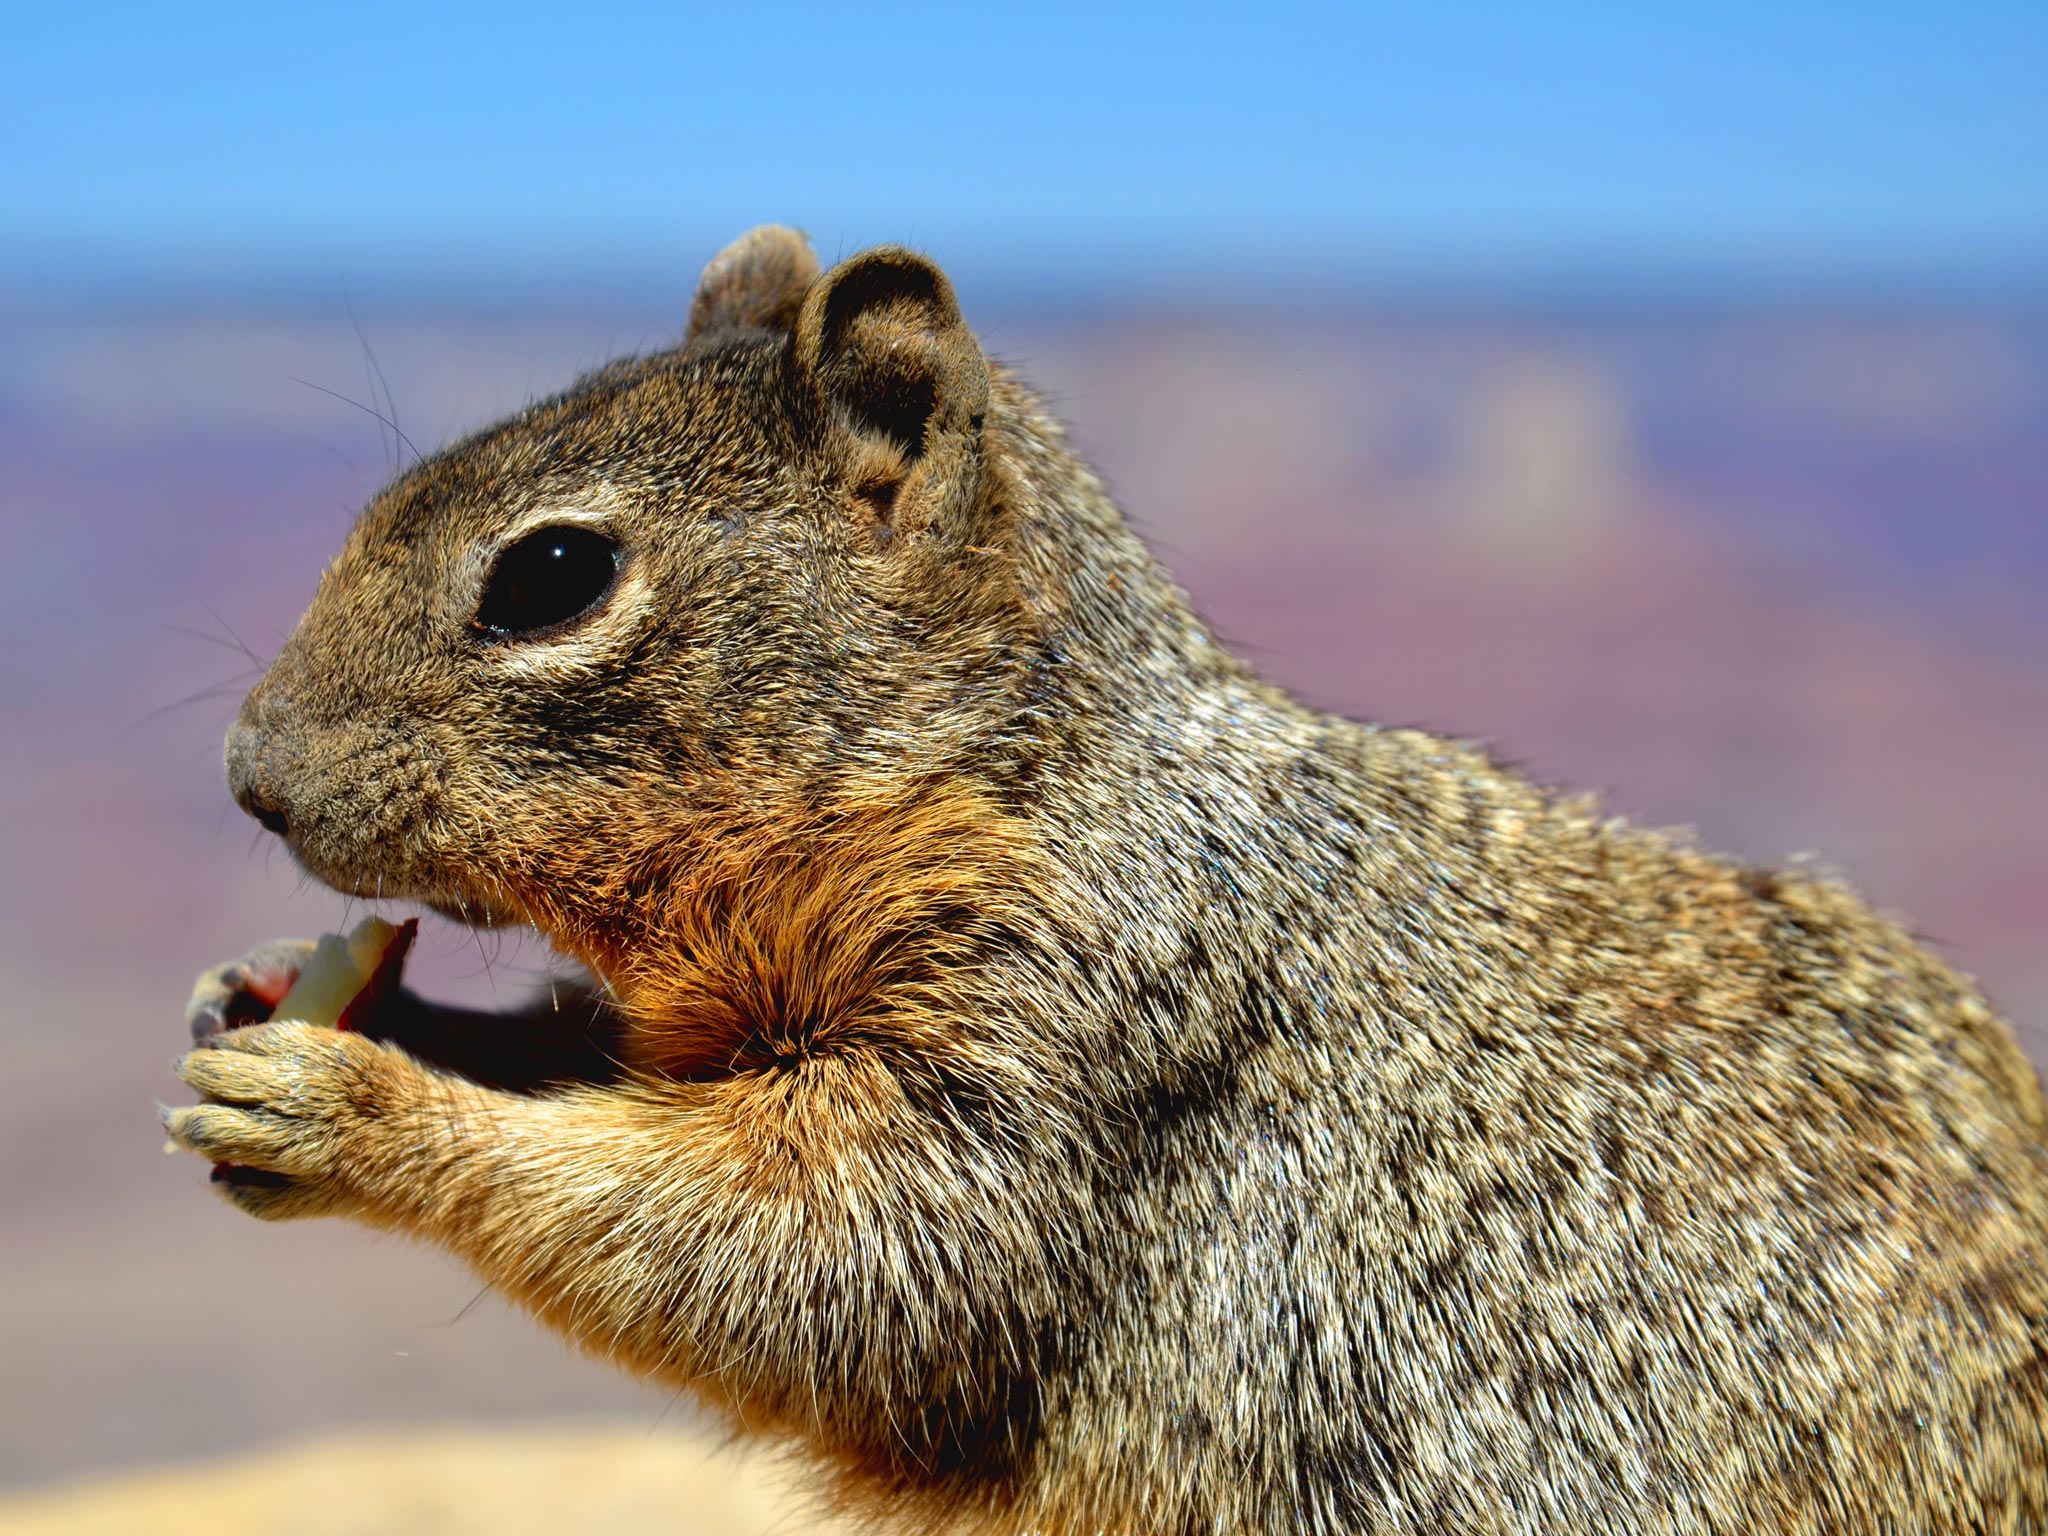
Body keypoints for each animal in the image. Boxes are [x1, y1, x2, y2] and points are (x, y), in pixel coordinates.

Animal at [167, 231, 2048, 1536]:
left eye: (553, 573)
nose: (250, 776)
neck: (1016, 778)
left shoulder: (1056, 1038)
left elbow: (811, 1260)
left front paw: (349, 1101)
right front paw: (278, 996)